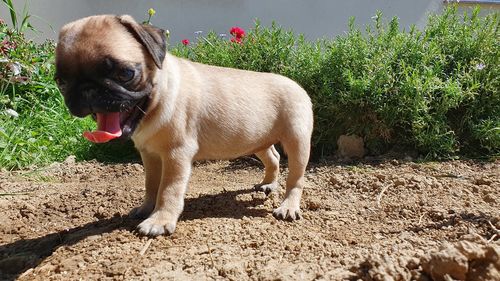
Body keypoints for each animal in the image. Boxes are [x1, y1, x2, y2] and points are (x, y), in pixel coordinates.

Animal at [54, 14, 312, 234]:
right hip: (258, 140)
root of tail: (297, 84)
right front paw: (146, 209)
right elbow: (151, 185)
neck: (154, 104)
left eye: (126, 73)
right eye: (61, 82)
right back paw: (268, 184)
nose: (87, 90)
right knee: (273, 157)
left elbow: (168, 189)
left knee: (296, 179)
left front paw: (159, 220)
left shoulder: (175, 155)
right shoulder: (150, 155)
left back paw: (288, 206)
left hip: (297, 141)